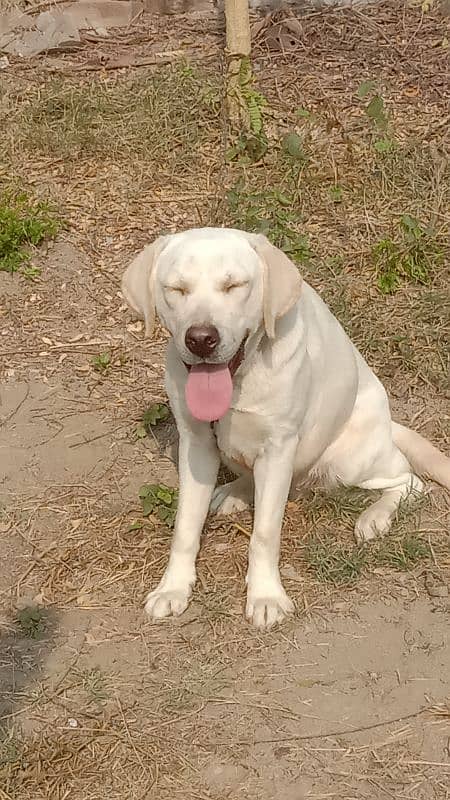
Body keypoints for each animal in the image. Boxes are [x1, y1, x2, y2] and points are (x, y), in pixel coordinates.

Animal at [121, 228, 448, 628]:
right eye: (176, 289)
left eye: (234, 285)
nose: (200, 338)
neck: (241, 378)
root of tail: (390, 426)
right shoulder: (195, 443)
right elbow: (185, 527)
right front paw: (173, 587)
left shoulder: (279, 448)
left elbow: (264, 533)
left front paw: (265, 596)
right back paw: (233, 492)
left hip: (348, 461)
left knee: (408, 481)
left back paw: (374, 518)